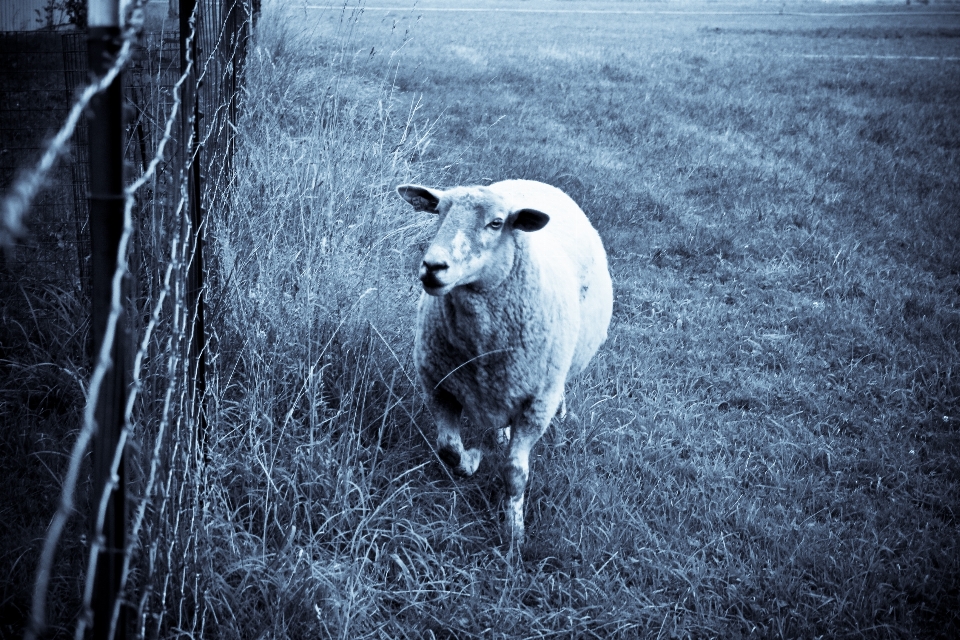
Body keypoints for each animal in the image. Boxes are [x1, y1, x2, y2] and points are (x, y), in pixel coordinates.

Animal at [398, 179, 616, 544]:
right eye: (439, 212)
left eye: (496, 223)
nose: (433, 267)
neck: (480, 351)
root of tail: (535, 182)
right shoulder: (438, 386)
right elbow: (448, 448)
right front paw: (472, 461)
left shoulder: (535, 407)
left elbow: (514, 473)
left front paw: (514, 532)